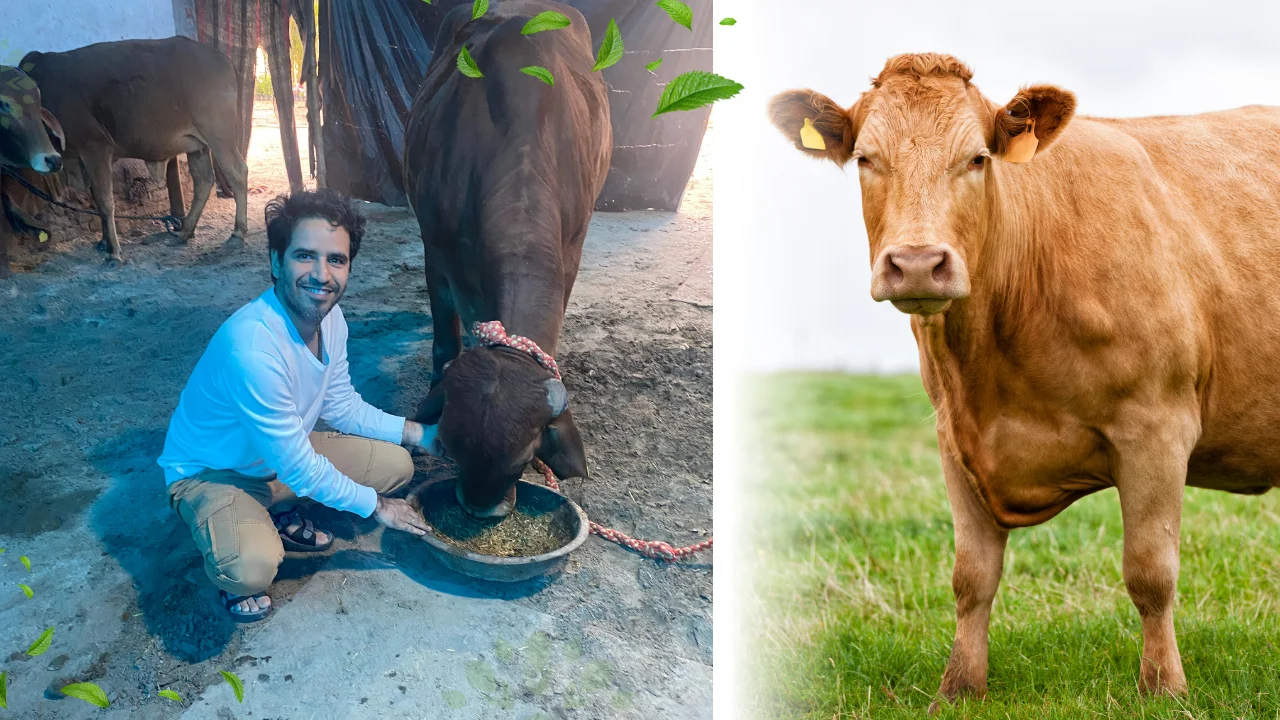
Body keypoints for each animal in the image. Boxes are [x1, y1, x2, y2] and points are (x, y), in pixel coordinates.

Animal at [20, 36, 248, 267]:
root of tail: (223, 59)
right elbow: (96, 198)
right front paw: (103, 242)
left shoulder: (95, 147)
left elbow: (105, 202)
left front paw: (113, 252)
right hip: (197, 145)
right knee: (203, 181)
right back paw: (184, 232)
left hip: (219, 136)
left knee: (238, 173)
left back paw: (237, 232)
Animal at [402, 0, 610, 517]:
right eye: (452, 449)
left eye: (523, 457)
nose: (481, 509)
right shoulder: (434, 248)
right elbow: (444, 339)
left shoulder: (573, 249)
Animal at [769, 52, 1280, 707]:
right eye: (865, 158)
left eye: (976, 158)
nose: (917, 264)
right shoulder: (954, 437)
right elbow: (971, 576)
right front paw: (959, 687)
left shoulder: (1158, 427)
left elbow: (1150, 572)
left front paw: (1165, 688)